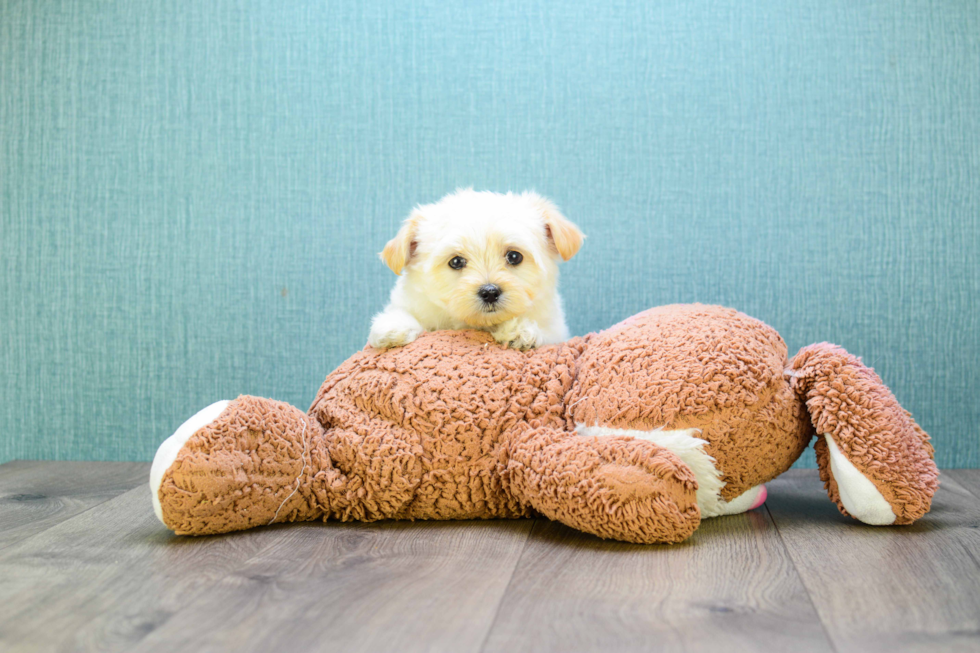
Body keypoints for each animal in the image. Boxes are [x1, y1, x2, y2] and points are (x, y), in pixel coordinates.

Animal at [368, 188, 580, 352]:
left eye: (514, 256)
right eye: (456, 262)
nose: (490, 292)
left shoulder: (557, 329)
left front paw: (521, 330)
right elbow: (402, 312)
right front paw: (393, 327)